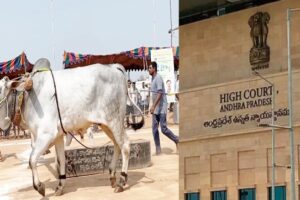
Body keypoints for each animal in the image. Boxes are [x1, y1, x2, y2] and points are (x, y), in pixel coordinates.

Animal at [0, 58, 144, 196]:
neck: (26, 96)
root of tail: (114, 67)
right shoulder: (57, 136)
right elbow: (61, 159)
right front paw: (60, 186)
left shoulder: (46, 134)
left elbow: (32, 160)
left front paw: (40, 187)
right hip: (106, 124)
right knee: (116, 144)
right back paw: (112, 176)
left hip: (115, 121)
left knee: (125, 145)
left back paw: (121, 181)